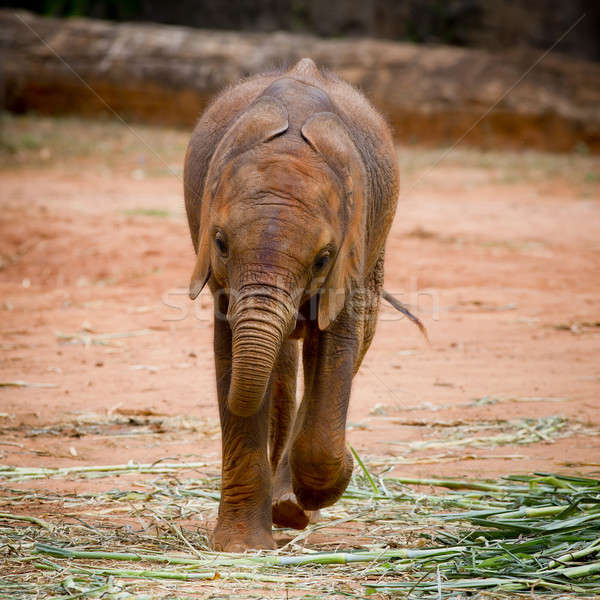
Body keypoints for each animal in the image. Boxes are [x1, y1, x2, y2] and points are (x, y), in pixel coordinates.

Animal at [183, 58, 398, 552]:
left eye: (321, 258)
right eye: (220, 243)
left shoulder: (351, 249)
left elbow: (336, 344)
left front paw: (324, 487)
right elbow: (233, 354)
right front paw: (242, 548)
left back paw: (293, 506)